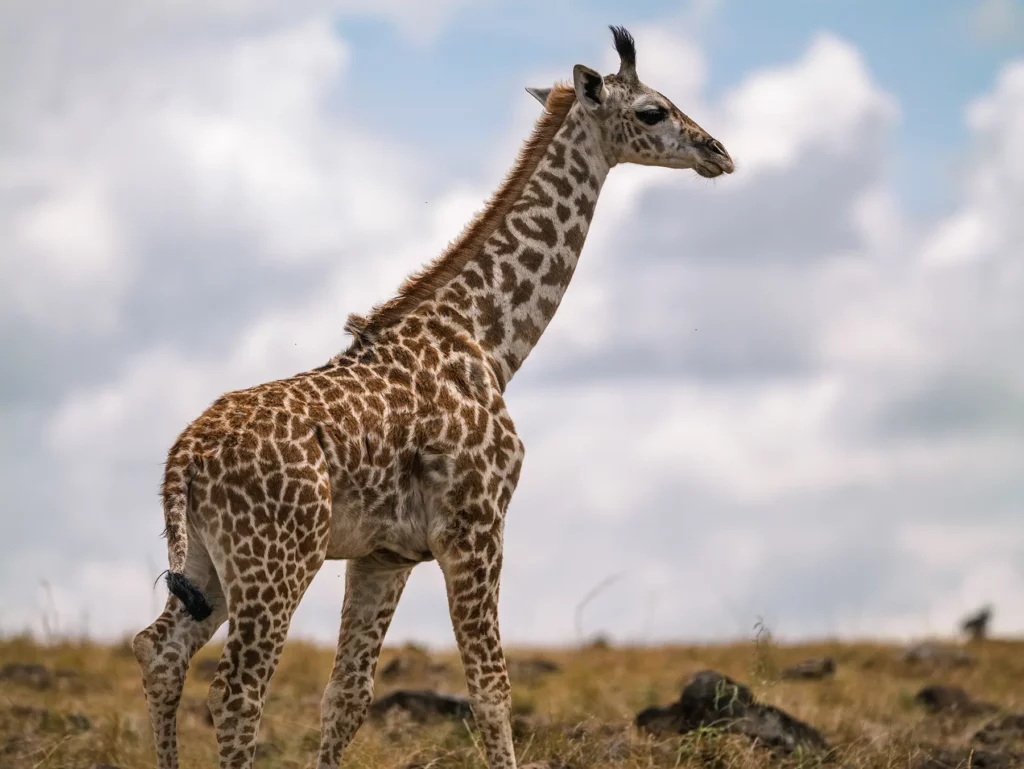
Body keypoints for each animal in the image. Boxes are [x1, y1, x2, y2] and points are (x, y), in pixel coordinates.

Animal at [133, 25, 733, 769]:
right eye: (653, 110)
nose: (718, 151)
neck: (489, 339)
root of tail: (184, 456)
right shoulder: (476, 527)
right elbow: (492, 689)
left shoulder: (382, 554)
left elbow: (347, 698)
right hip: (275, 560)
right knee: (237, 692)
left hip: (206, 561)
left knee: (159, 650)